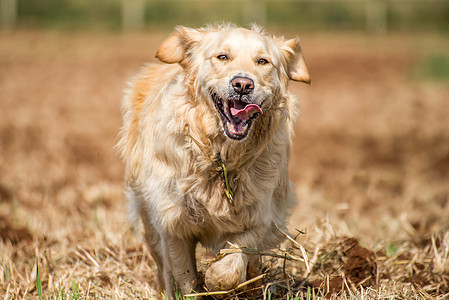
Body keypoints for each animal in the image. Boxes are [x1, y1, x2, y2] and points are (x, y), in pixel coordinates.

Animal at [117, 22, 310, 298]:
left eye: (263, 61)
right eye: (222, 57)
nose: (242, 84)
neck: (221, 156)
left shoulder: (262, 215)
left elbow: (228, 268)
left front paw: (218, 281)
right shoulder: (172, 222)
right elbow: (183, 274)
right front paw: (192, 289)